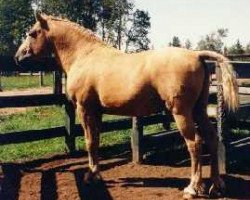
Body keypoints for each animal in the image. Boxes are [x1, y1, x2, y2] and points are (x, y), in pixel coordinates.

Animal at [15, 12, 238, 198]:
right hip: (198, 110)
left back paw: (192, 188)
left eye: (32, 33)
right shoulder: (97, 112)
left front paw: (90, 176)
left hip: (181, 113)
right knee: (211, 139)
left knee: (195, 144)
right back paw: (216, 185)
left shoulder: (84, 109)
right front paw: (95, 173)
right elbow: (96, 141)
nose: (18, 56)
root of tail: (196, 55)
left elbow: (89, 141)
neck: (85, 55)